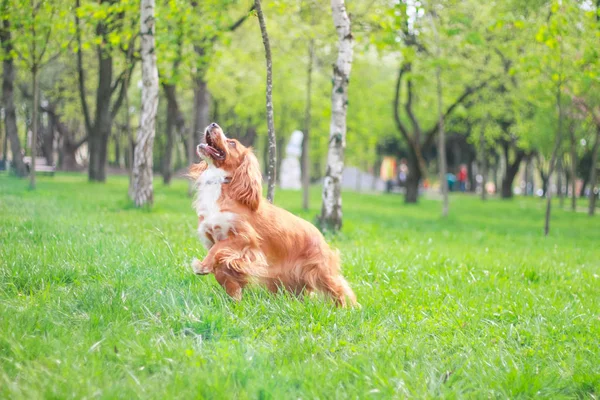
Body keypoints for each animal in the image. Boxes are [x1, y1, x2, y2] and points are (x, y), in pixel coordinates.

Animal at [189, 122, 356, 306]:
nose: (213, 124)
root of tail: (320, 235)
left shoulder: (244, 238)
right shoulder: (218, 242)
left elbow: (217, 250)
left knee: (339, 288)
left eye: (232, 143)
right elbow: (222, 270)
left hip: (320, 270)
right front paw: (234, 297)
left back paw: (348, 307)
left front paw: (202, 266)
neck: (220, 184)